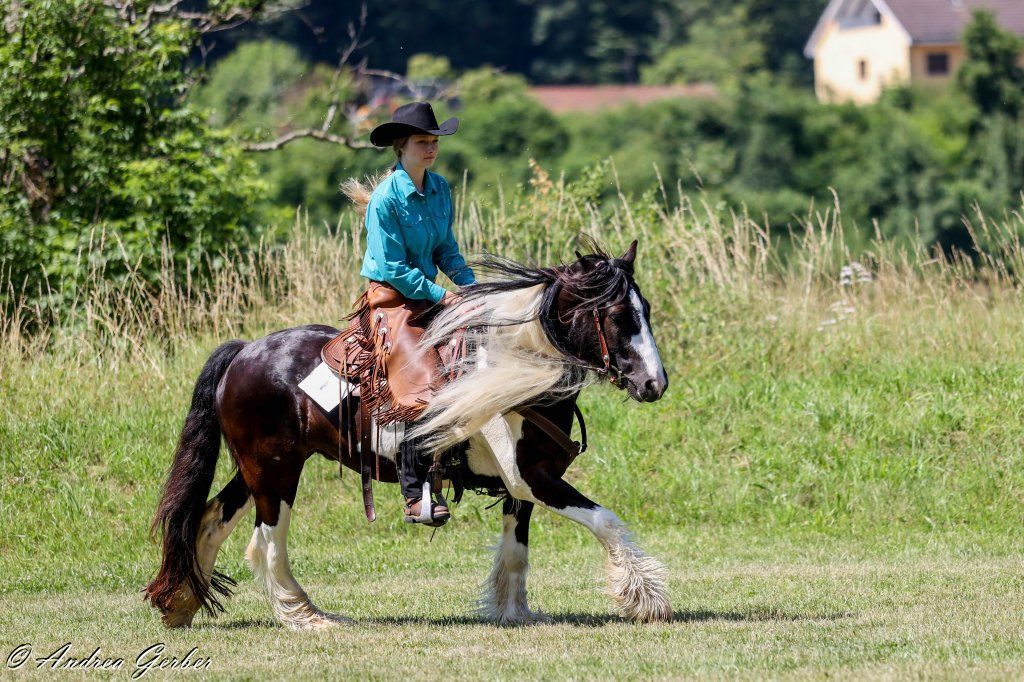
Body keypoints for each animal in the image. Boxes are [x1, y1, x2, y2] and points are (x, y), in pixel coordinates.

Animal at [143, 239, 671, 629]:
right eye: (620, 317)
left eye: (645, 309)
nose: (655, 384)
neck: (514, 367)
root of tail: (244, 351)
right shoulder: (532, 479)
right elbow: (605, 521)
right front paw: (645, 599)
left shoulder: (520, 484)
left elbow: (516, 550)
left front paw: (513, 611)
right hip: (277, 474)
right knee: (267, 542)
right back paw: (307, 617)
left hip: (258, 470)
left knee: (209, 519)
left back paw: (182, 603)